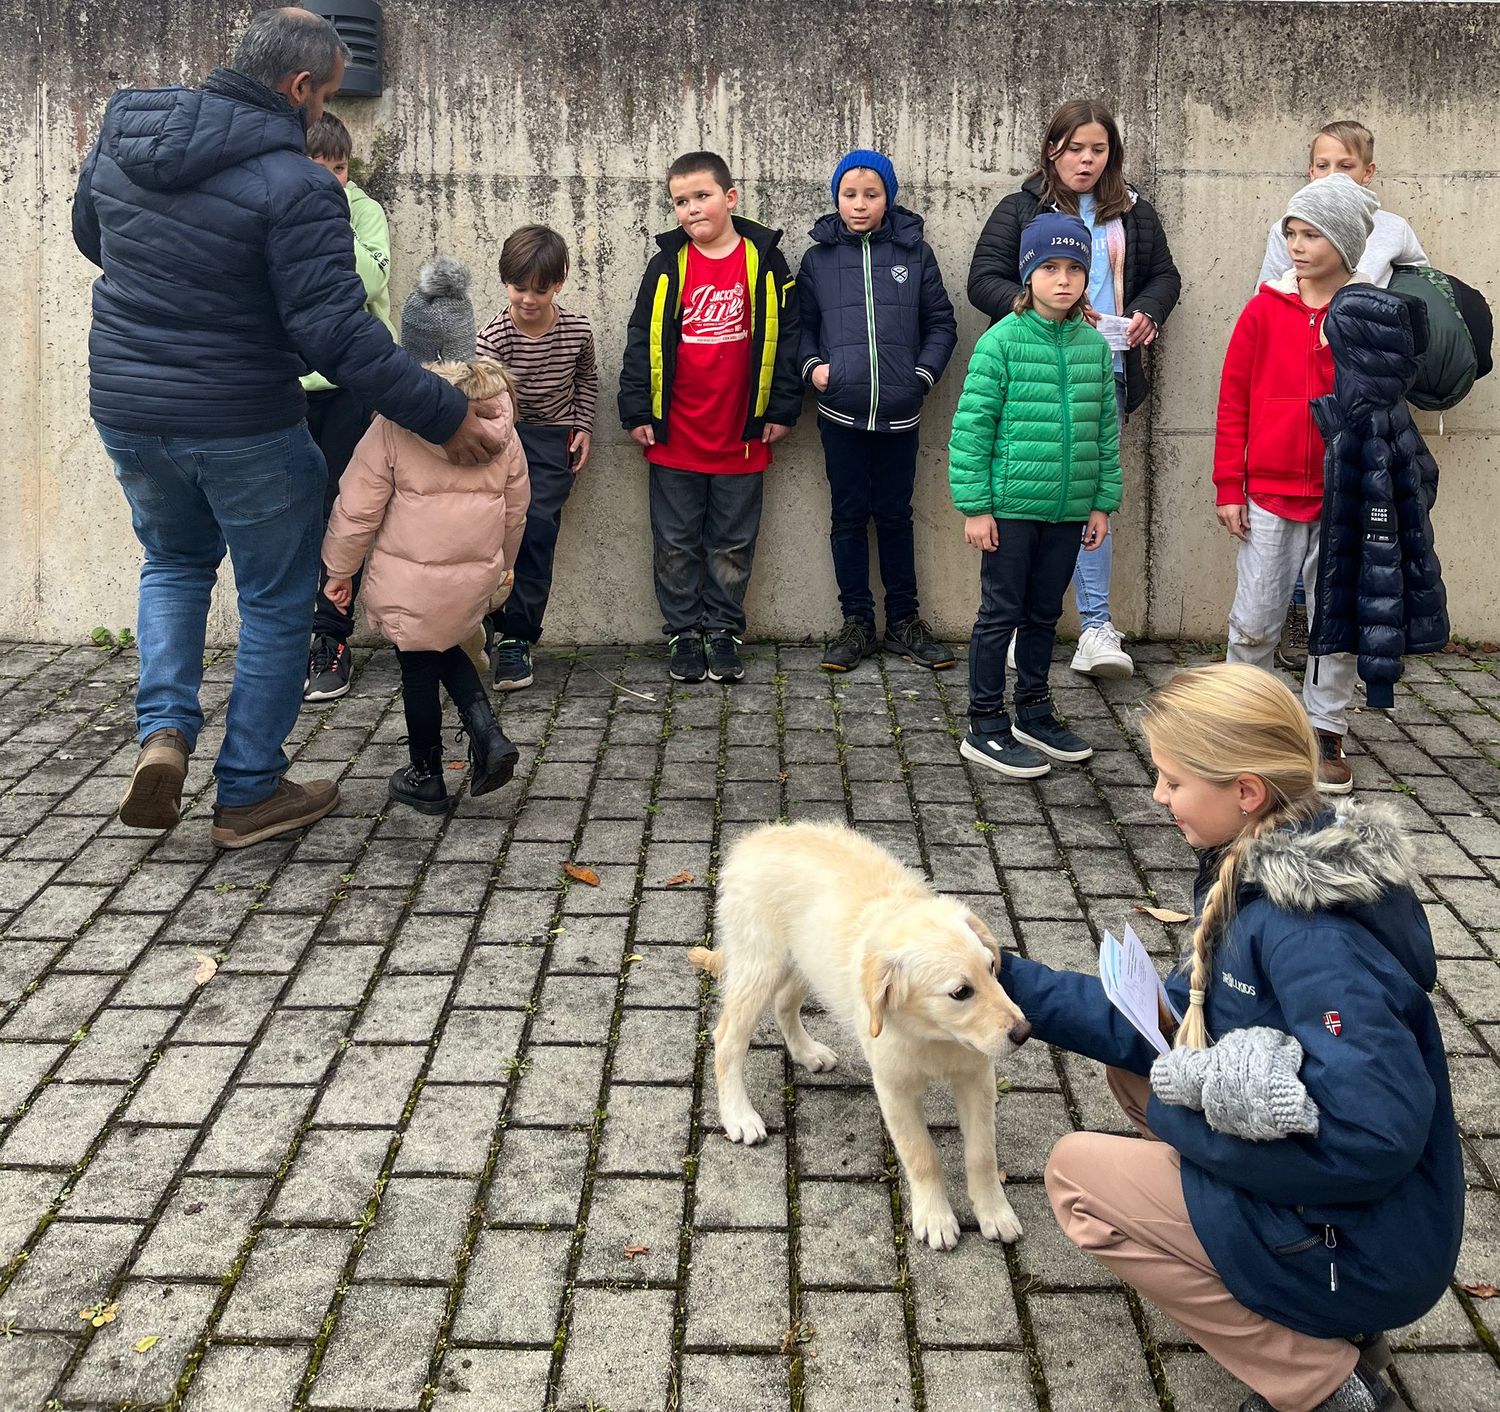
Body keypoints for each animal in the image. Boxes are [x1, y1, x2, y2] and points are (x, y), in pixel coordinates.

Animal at [689, 821, 1031, 1250]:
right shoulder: (894, 1088)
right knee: (728, 1038)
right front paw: (935, 1217)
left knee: (784, 1004)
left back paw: (807, 1052)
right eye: (960, 992)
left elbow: (982, 1152)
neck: (933, 1036)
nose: (1024, 1032)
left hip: (807, 961)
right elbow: (922, 1154)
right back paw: (739, 1114)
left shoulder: (976, 1077)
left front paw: (994, 1212)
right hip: (760, 965)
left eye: (991, 969)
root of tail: (755, 838)